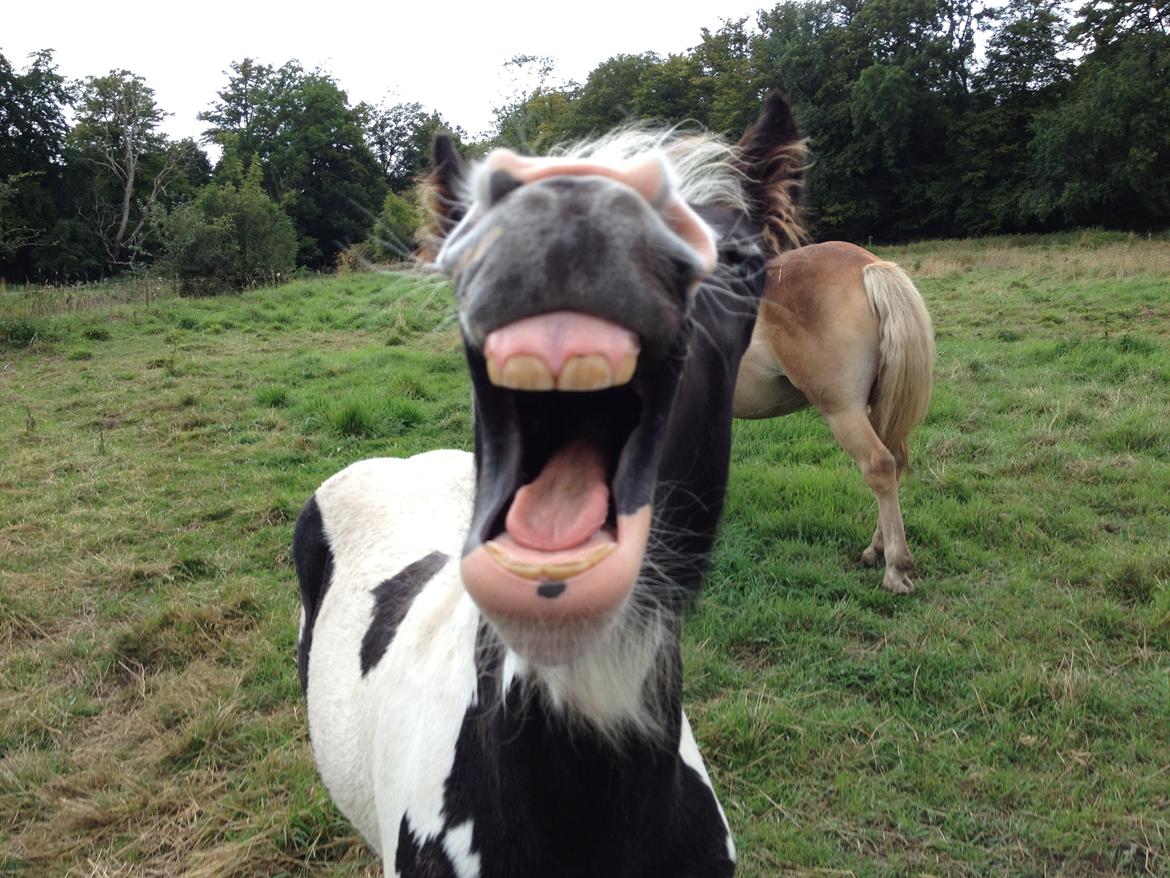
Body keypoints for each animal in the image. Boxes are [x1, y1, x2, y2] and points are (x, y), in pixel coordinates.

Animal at [730, 241, 931, 594]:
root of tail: (867, 266)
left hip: (843, 411)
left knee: (880, 465)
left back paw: (895, 568)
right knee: (896, 461)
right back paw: (875, 550)